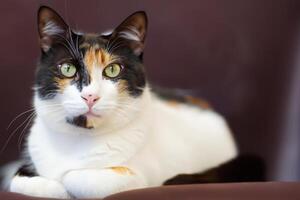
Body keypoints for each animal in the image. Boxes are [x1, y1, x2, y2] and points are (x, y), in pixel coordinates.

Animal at [5, 5, 238, 198]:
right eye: (68, 69)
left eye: (113, 70)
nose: (90, 96)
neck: (77, 141)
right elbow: (19, 181)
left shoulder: (137, 177)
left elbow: (76, 177)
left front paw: (63, 184)